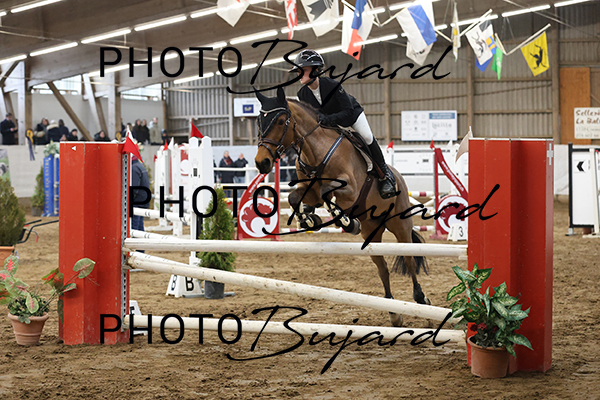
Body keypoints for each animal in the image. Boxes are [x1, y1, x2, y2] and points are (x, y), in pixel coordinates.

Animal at [253, 87, 430, 327]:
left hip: (399, 226)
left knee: (410, 261)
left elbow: (329, 192)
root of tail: (399, 178)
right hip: (371, 230)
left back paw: (422, 301)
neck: (315, 150)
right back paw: (393, 311)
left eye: (281, 121)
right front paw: (308, 219)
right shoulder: (309, 191)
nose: (261, 162)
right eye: (259, 121)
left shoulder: (351, 189)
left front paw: (346, 221)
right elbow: (296, 198)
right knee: (382, 268)